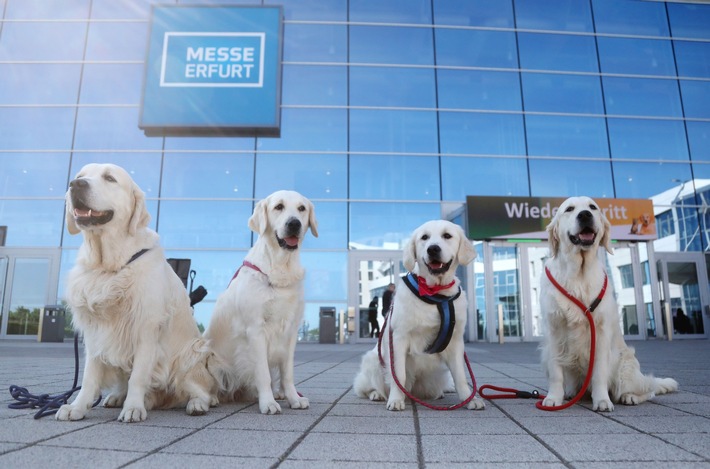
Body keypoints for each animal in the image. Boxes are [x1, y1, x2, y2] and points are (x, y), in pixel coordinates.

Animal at [56, 164, 214, 420]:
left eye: (110, 178)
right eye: (80, 176)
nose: (75, 184)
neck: (108, 266)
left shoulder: (146, 328)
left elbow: (138, 376)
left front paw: (133, 408)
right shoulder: (95, 332)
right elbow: (89, 377)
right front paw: (77, 407)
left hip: (188, 356)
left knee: (204, 391)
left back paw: (197, 404)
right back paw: (117, 397)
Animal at [204, 189, 318, 414]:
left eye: (301, 208)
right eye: (279, 207)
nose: (294, 224)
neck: (281, 267)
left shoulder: (291, 331)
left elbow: (288, 373)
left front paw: (293, 398)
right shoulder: (255, 329)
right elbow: (263, 374)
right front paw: (268, 403)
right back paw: (210, 398)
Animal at [354, 219, 486, 410]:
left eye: (447, 235)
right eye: (424, 237)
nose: (433, 249)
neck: (435, 293)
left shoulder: (455, 342)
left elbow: (460, 376)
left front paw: (469, 399)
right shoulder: (399, 338)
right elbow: (398, 375)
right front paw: (395, 400)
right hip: (372, 360)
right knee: (367, 386)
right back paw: (377, 394)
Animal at [544, 196, 680, 412]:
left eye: (592, 207)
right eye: (569, 209)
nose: (585, 215)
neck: (578, 274)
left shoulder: (600, 332)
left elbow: (599, 372)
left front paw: (602, 400)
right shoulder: (554, 330)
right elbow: (556, 371)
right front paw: (554, 397)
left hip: (625, 368)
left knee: (648, 388)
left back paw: (630, 396)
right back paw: (571, 392)